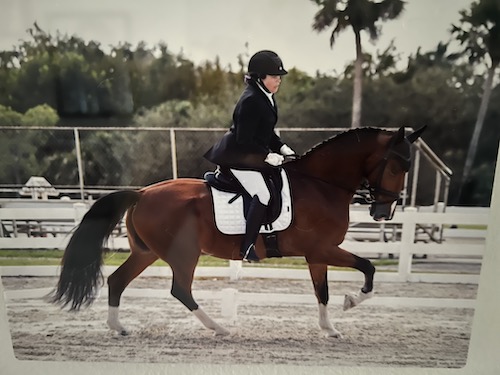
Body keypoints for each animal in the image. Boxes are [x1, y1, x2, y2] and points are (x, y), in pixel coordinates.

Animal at [49, 125, 426, 338]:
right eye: (397, 165)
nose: (383, 211)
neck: (322, 185)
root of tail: (141, 192)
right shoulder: (322, 249)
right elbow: (368, 267)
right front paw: (351, 302)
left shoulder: (316, 255)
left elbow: (322, 292)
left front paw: (330, 328)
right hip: (183, 255)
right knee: (180, 289)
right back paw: (220, 328)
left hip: (147, 252)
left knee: (118, 281)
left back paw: (119, 328)